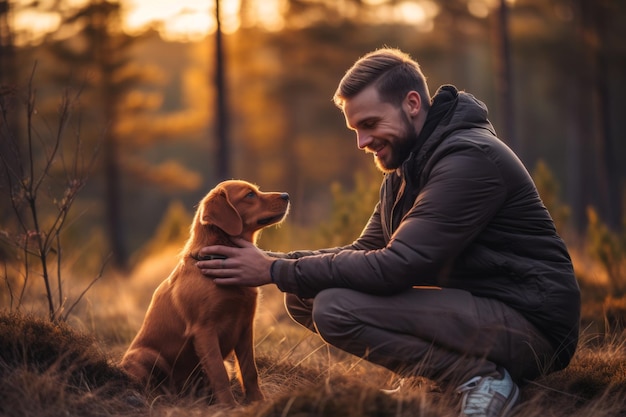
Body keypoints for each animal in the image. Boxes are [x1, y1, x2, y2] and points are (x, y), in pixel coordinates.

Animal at [120, 179, 288, 404]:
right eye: (250, 195)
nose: (286, 195)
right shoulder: (204, 330)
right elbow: (219, 374)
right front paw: (229, 406)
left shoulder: (245, 327)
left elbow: (249, 371)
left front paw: (258, 402)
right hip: (145, 356)